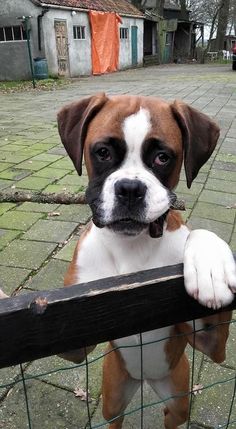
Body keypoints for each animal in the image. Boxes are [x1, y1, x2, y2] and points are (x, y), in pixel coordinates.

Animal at [56, 94, 235, 428]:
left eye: (163, 158)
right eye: (103, 152)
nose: (130, 188)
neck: (131, 246)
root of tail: (144, 380)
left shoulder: (210, 344)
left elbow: (200, 234)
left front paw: (211, 263)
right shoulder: (75, 343)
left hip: (178, 398)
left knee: (172, 415)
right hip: (113, 397)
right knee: (115, 417)